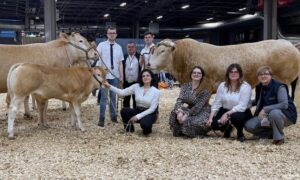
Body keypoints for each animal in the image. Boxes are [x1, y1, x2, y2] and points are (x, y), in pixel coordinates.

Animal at [150, 38, 300, 99]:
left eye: (162, 51)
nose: (149, 65)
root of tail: (290, 44)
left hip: (283, 80)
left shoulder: (204, 86)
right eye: (154, 51)